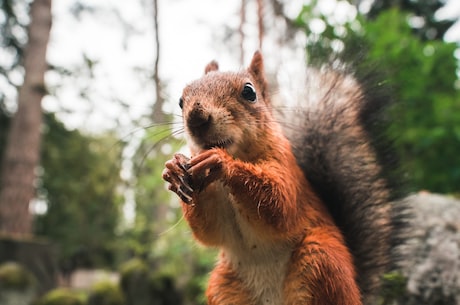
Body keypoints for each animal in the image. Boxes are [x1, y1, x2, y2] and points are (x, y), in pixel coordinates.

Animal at [162, 51, 406, 302]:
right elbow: (208, 229)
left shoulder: (287, 170)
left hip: (320, 258)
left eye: (249, 92)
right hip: (223, 286)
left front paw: (222, 161)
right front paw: (174, 170)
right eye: (181, 101)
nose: (196, 118)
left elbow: (279, 204)